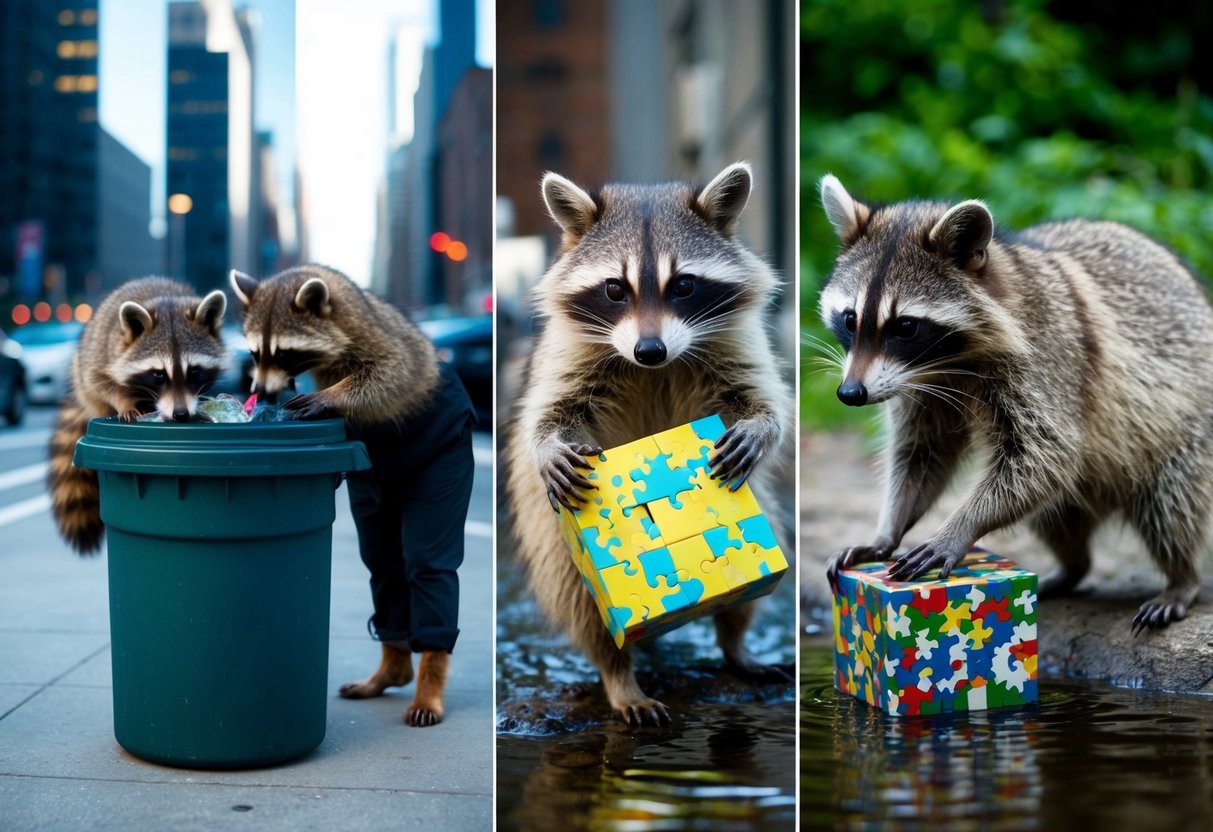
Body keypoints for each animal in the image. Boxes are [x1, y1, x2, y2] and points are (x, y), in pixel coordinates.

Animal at [47, 277, 228, 554]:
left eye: (194, 372)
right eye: (159, 375)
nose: (181, 414)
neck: (167, 305)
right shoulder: (104, 354)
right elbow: (99, 381)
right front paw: (124, 402)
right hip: (86, 358)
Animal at [230, 264, 476, 727]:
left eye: (284, 353)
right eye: (254, 353)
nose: (262, 393)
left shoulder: (377, 337)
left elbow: (392, 374)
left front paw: (332, 397)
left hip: (445, 465)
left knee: (427, 569)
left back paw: (428, 681)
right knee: (385, 567)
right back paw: (392, 668)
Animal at [506, 162, 794, 727]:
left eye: (683, 285)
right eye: (614, 290)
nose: (650, 350)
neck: (655, 368)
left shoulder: (736, 341)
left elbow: (764, 398)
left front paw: (760, 426)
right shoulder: (564, 354)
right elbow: (546, 412)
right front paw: (548, 446)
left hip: (760, 524)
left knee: (745, 588)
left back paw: (735, 644)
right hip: (555, 543)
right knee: (584, 607)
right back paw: (619, 675)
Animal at [817, 175, 1213, 635]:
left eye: (906, 327)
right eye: (850, 319)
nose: (850, 394)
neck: (950, 361)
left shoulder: (1047, 359)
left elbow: (1045, 457)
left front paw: (960, 526)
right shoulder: (921, 386)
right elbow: (922, 454)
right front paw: (888, 532)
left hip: (1185, 427)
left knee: (1170, 505)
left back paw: (1182, 578)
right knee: (1057, 518)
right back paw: (1072, 567)